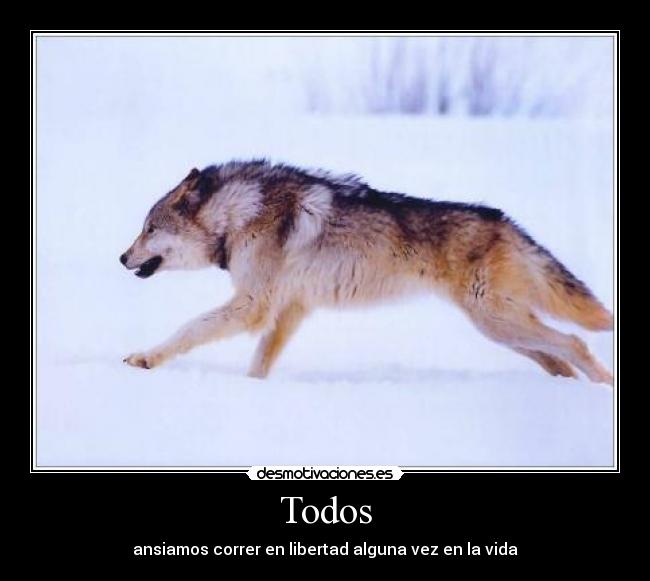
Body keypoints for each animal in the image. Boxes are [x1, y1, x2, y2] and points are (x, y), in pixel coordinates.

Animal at [120, 160, 614, 385]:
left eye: (149, 229)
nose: (121, 258)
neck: (237, 215)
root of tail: (504, 221)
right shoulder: (291, 308)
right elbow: (260, 361)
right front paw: (253, 389)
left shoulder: (253, 305)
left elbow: (189, 329)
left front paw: (145, 358)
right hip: (502, 331)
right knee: (559, 360)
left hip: (499, 322)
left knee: (575, 343)